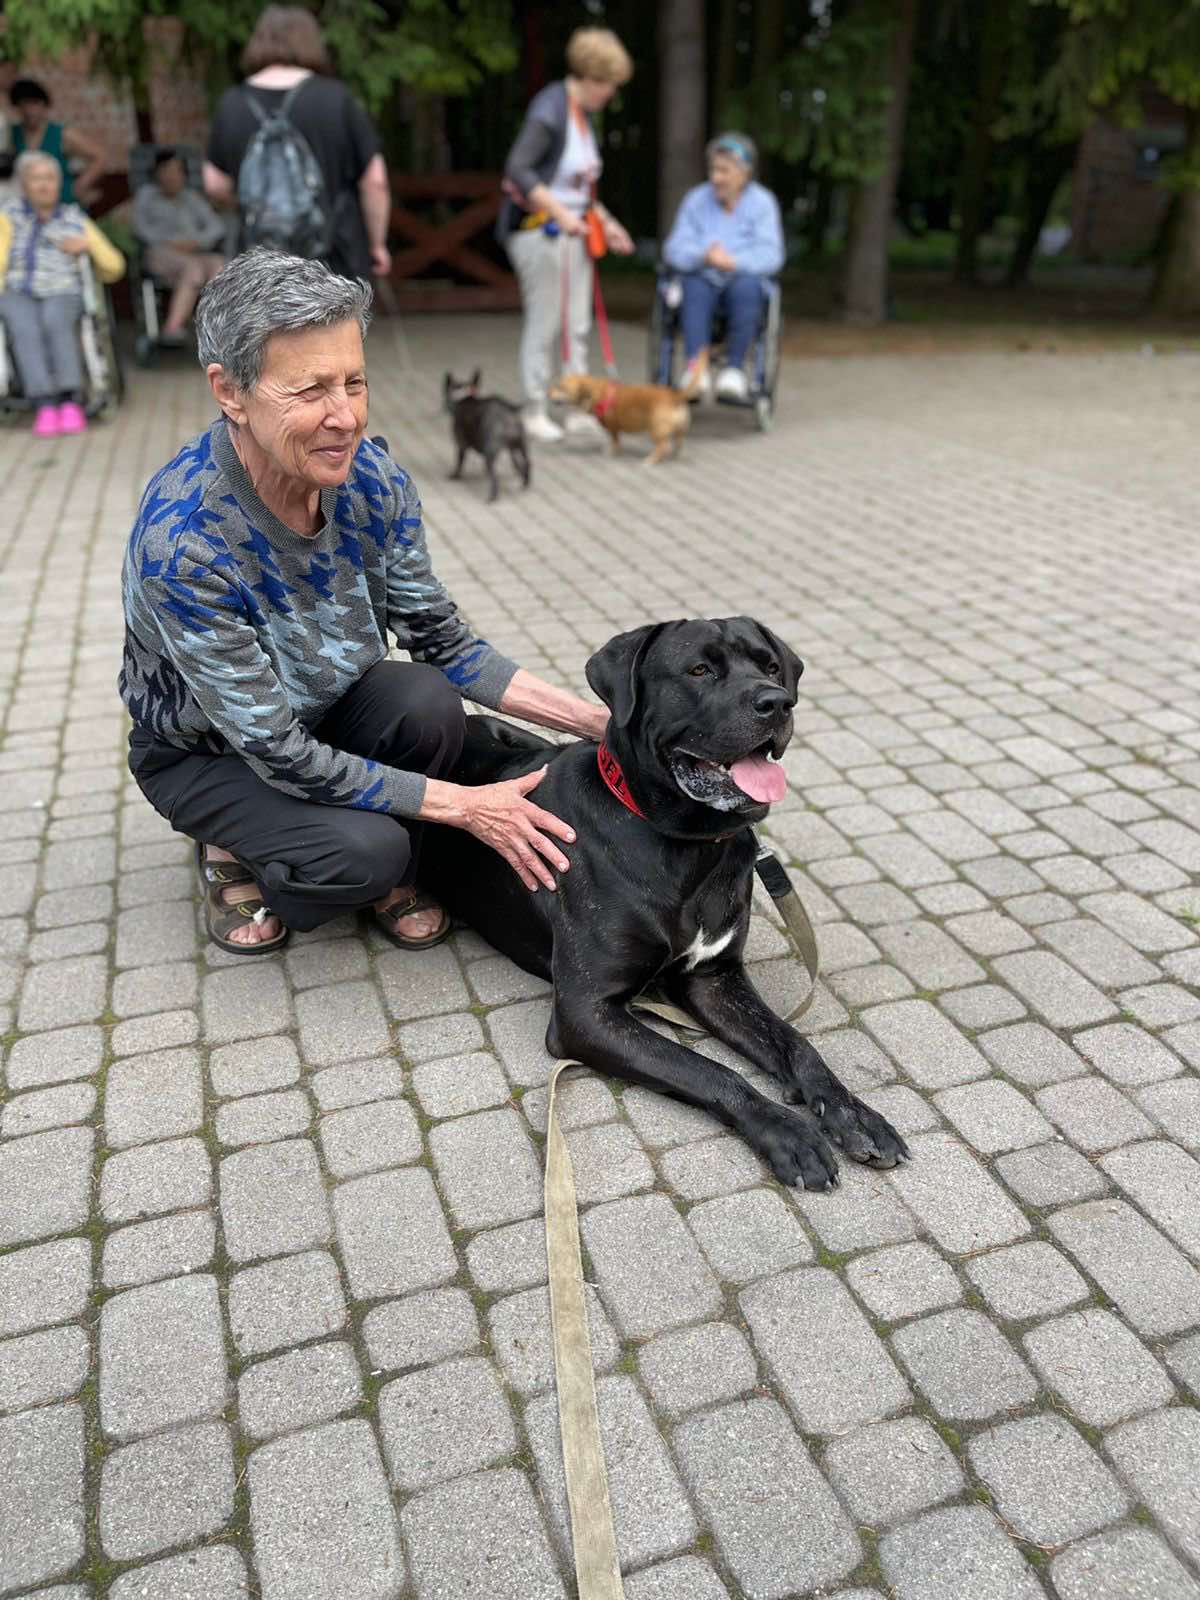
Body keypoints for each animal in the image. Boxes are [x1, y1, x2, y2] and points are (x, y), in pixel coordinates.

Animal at [422, 617, 908, 1196]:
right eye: (699, 670)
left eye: (771, 666)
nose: (777, 702)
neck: (688, 844)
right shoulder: (586, 1013)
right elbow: (708, 1069)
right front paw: (787, 1131)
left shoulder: (715, 979)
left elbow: (795, 1043)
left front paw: (851, 1112)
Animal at [441, 371, 531, 502]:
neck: (464, 396)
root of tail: (508, 412)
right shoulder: (511, 450)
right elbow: (517, 464)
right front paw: (519, 472)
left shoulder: (461, 444)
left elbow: (459, 462)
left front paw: (455, 475)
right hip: (521, 445)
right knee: (528, 462)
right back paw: (525, 482)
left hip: (491, 452)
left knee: (495, 477)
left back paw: (492, 497)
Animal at [553, 355, 710, 464]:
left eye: (561, 387)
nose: (549, 392)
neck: (598, 391)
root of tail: (674, 395)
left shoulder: (613, 428)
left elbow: (614, 441)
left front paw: (611, 452)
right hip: (680, 431)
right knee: (679, 443)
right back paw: (676, 456)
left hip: (655, 430)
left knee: (664, 446)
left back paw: (651, 460)